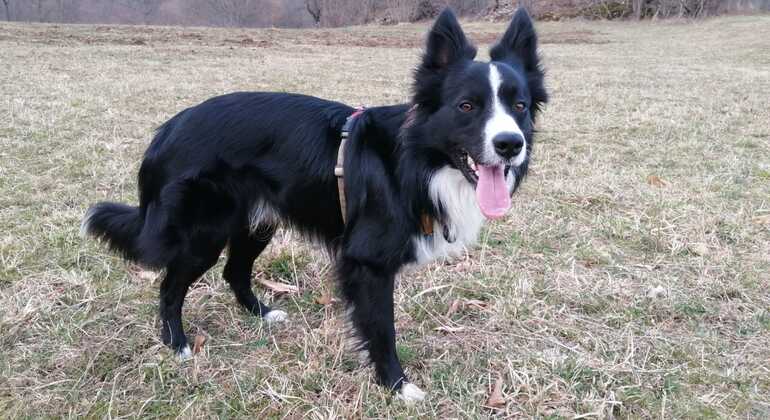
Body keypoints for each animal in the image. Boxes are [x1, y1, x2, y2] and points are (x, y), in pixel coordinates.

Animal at [79, 7, 544, 400]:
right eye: (466, 106)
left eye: (519, 106)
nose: (510, 145)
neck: (416, 160)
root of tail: (168, 130)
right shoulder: (368, 263)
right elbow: (382, 329)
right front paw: (397, 385)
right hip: (203, 234)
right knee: (170, 286)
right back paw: (177, 344)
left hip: (256, 224)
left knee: (234, 272)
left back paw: (262, 314)